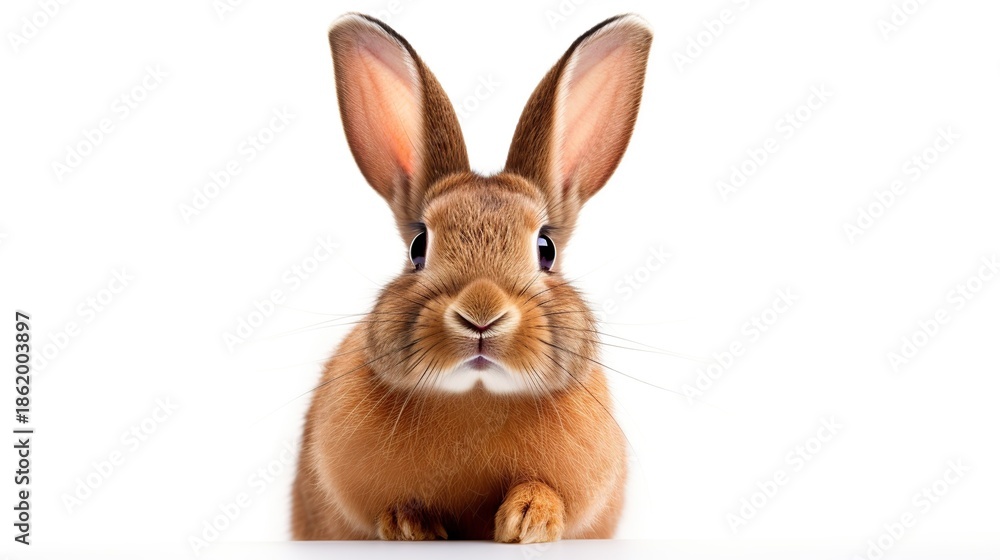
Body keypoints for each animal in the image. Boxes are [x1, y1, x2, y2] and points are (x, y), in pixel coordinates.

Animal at [292, 12, 652, 543]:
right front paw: (410, 524)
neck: (475, 397)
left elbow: (555, 496)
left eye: (545, 249)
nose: (481, 315)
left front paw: (529, 519)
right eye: (418, 247)